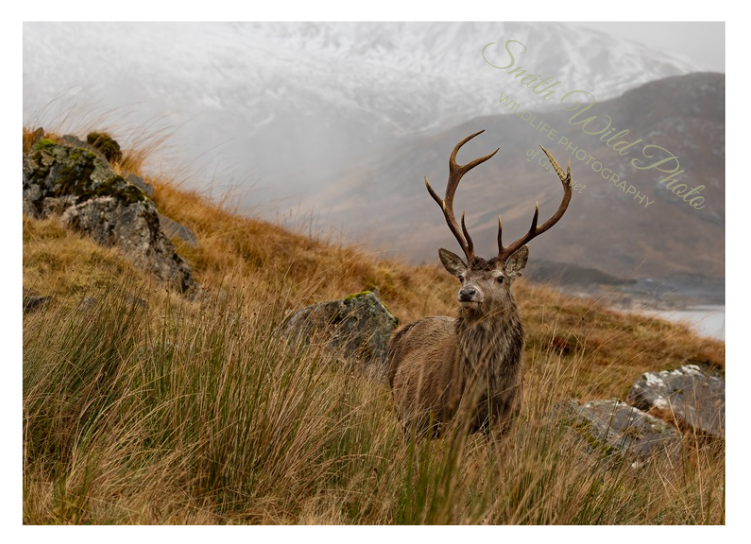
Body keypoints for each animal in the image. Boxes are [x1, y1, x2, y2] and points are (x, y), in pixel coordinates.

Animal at [387, 130, 572, 438]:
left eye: (500, 278)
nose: (467, 292)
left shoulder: (506, 423)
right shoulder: (452, 420)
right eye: (462, 276)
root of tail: (400, 332)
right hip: (406, 411)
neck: (488, 391)